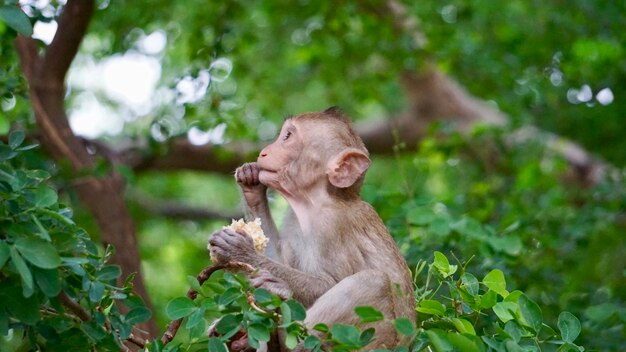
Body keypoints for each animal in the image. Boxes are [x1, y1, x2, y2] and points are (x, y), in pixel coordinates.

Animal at [208, 107, 414, 350]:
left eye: (287, 136)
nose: (264, 152)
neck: (312, 204)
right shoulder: (292, 219)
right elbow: (281, 257)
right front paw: (251, 185)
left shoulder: (333, 225)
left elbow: (329, 282)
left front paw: (241, 252)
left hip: (374, 340)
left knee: (373, 282)